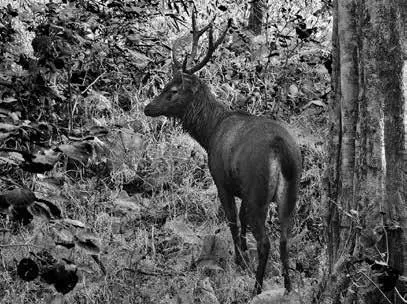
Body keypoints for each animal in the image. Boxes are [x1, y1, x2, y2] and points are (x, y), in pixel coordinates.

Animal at [144, 12, 302, 294]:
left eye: (172, 90)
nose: (147, 108)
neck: (209, 134)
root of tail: (280, 149)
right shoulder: (241, 189)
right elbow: (240, 220)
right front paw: (243, 257)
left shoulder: (222, 180)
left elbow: (232, 220)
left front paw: (239, 261)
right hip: (289, 193)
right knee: (285, 239)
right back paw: (287, 287)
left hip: (258, 190)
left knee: (266, 242)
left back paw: (256, 288)